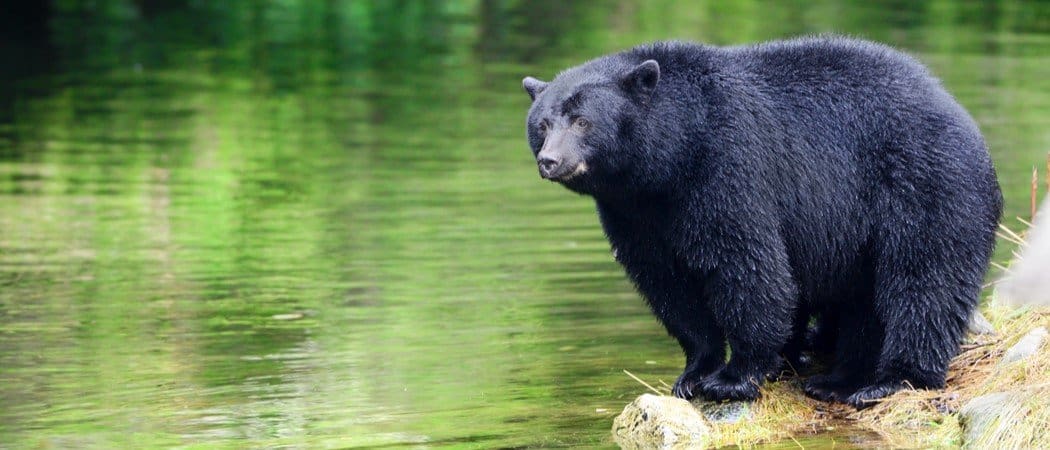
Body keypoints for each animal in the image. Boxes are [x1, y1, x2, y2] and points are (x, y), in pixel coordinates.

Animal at [521, 36, 1002, 409]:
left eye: (583, 121)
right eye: (542, 124)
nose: (550, 160)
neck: (670, 159)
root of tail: (966, 122)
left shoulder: (726, 165)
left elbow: (748, 267)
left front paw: (734, 378)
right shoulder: (633, 213)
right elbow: (669, 286)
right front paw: (694, 372)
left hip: (925, 184)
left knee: (923, 280)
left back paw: (888, 380)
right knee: (865, 299)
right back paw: (834, 374)